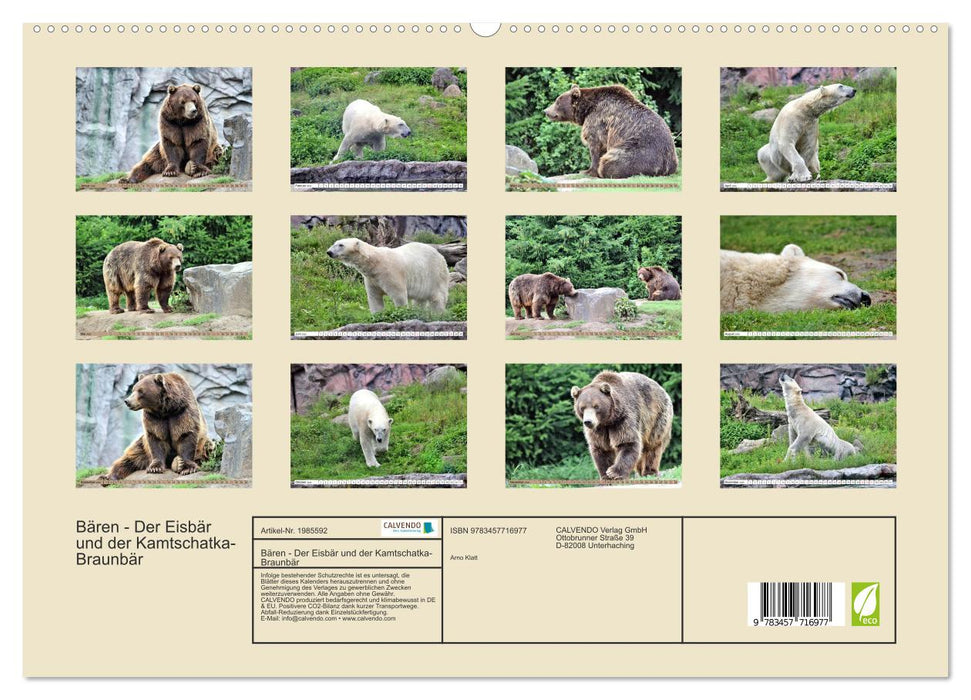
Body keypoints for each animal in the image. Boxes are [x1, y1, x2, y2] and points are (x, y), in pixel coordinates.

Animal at [543, 84, 678, 178]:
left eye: (557, 101)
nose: (546, 111)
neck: (587, 109)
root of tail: (666, 166)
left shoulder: (597, 121)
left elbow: (595, 146)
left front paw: (587, 171)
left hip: (640, 150)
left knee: (610, 161)